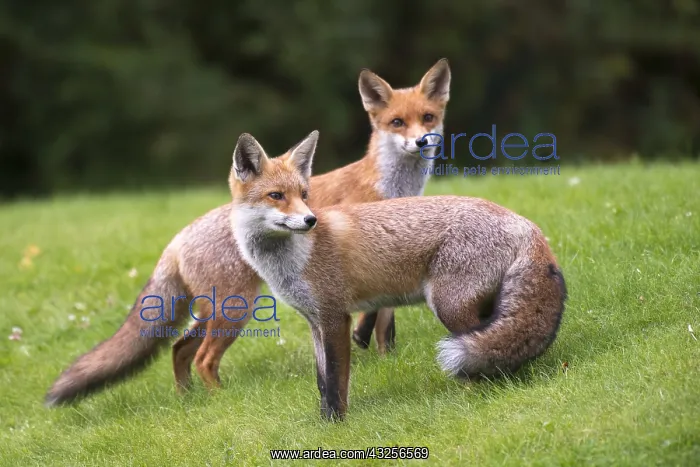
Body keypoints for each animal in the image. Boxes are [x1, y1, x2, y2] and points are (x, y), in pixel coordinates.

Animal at [44, 59, 452, 406]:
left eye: (427, 118)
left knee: (179, 349)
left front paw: (386, 359)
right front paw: (368, 348)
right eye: (397, 122)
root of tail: (177, 238)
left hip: (215, 312)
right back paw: (219, 401)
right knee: (203, 358)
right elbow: (376, 318)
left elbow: (386, 323)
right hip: (234, 308)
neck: (391, 186)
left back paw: (186, 401)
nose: (421, 141)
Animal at [228, 131, 568, 420]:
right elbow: (322, 381)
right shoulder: (315, 322)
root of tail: (525, 223)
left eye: (303, 194)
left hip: (450, 307)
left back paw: (474, 393)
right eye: (276, 196)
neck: (293, 259)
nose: (310, 220)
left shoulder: (335, 317)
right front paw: (323, 421)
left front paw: (336, 423)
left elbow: (336, 379)